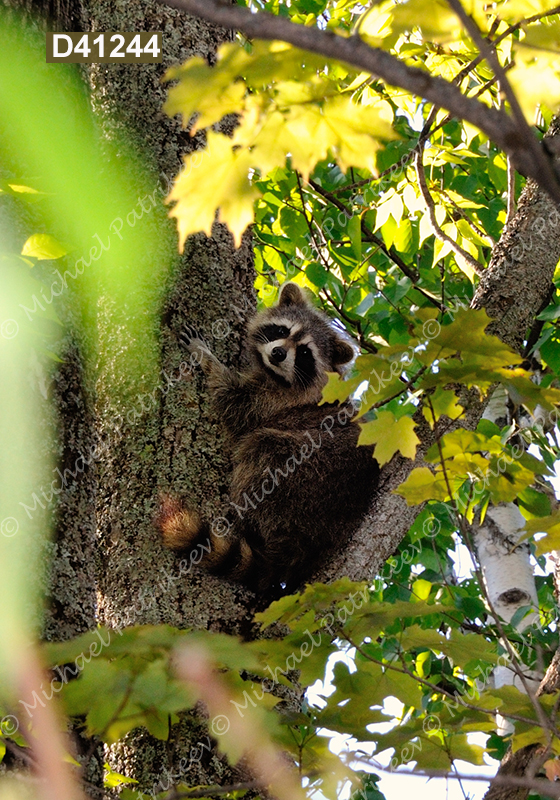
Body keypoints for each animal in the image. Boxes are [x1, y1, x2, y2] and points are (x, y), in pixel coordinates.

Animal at [162, 284, 380, 596]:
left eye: (304, 352)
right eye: (281, 330)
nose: (277, 353)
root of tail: (305, 544)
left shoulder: (276, 402)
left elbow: (234, 403)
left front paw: (206, 358)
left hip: (301, 478)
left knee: (263, 447)